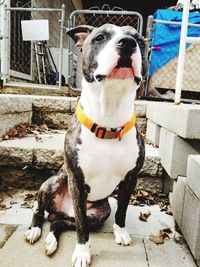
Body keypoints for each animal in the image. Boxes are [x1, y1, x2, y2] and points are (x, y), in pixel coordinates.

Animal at [24, 23, 147, 267]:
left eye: (139, 40)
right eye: (100, 37)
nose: (128, 43)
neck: (109, 119)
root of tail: (63, 211)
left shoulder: (130, 178)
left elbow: (122, 209)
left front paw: (120, 232)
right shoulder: (76, 179)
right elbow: (81, 228)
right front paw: (82, 251)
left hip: (100, 212)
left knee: (58, 223)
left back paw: (51, 240)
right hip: (53, 182)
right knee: (42, 211)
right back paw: (34, 230)